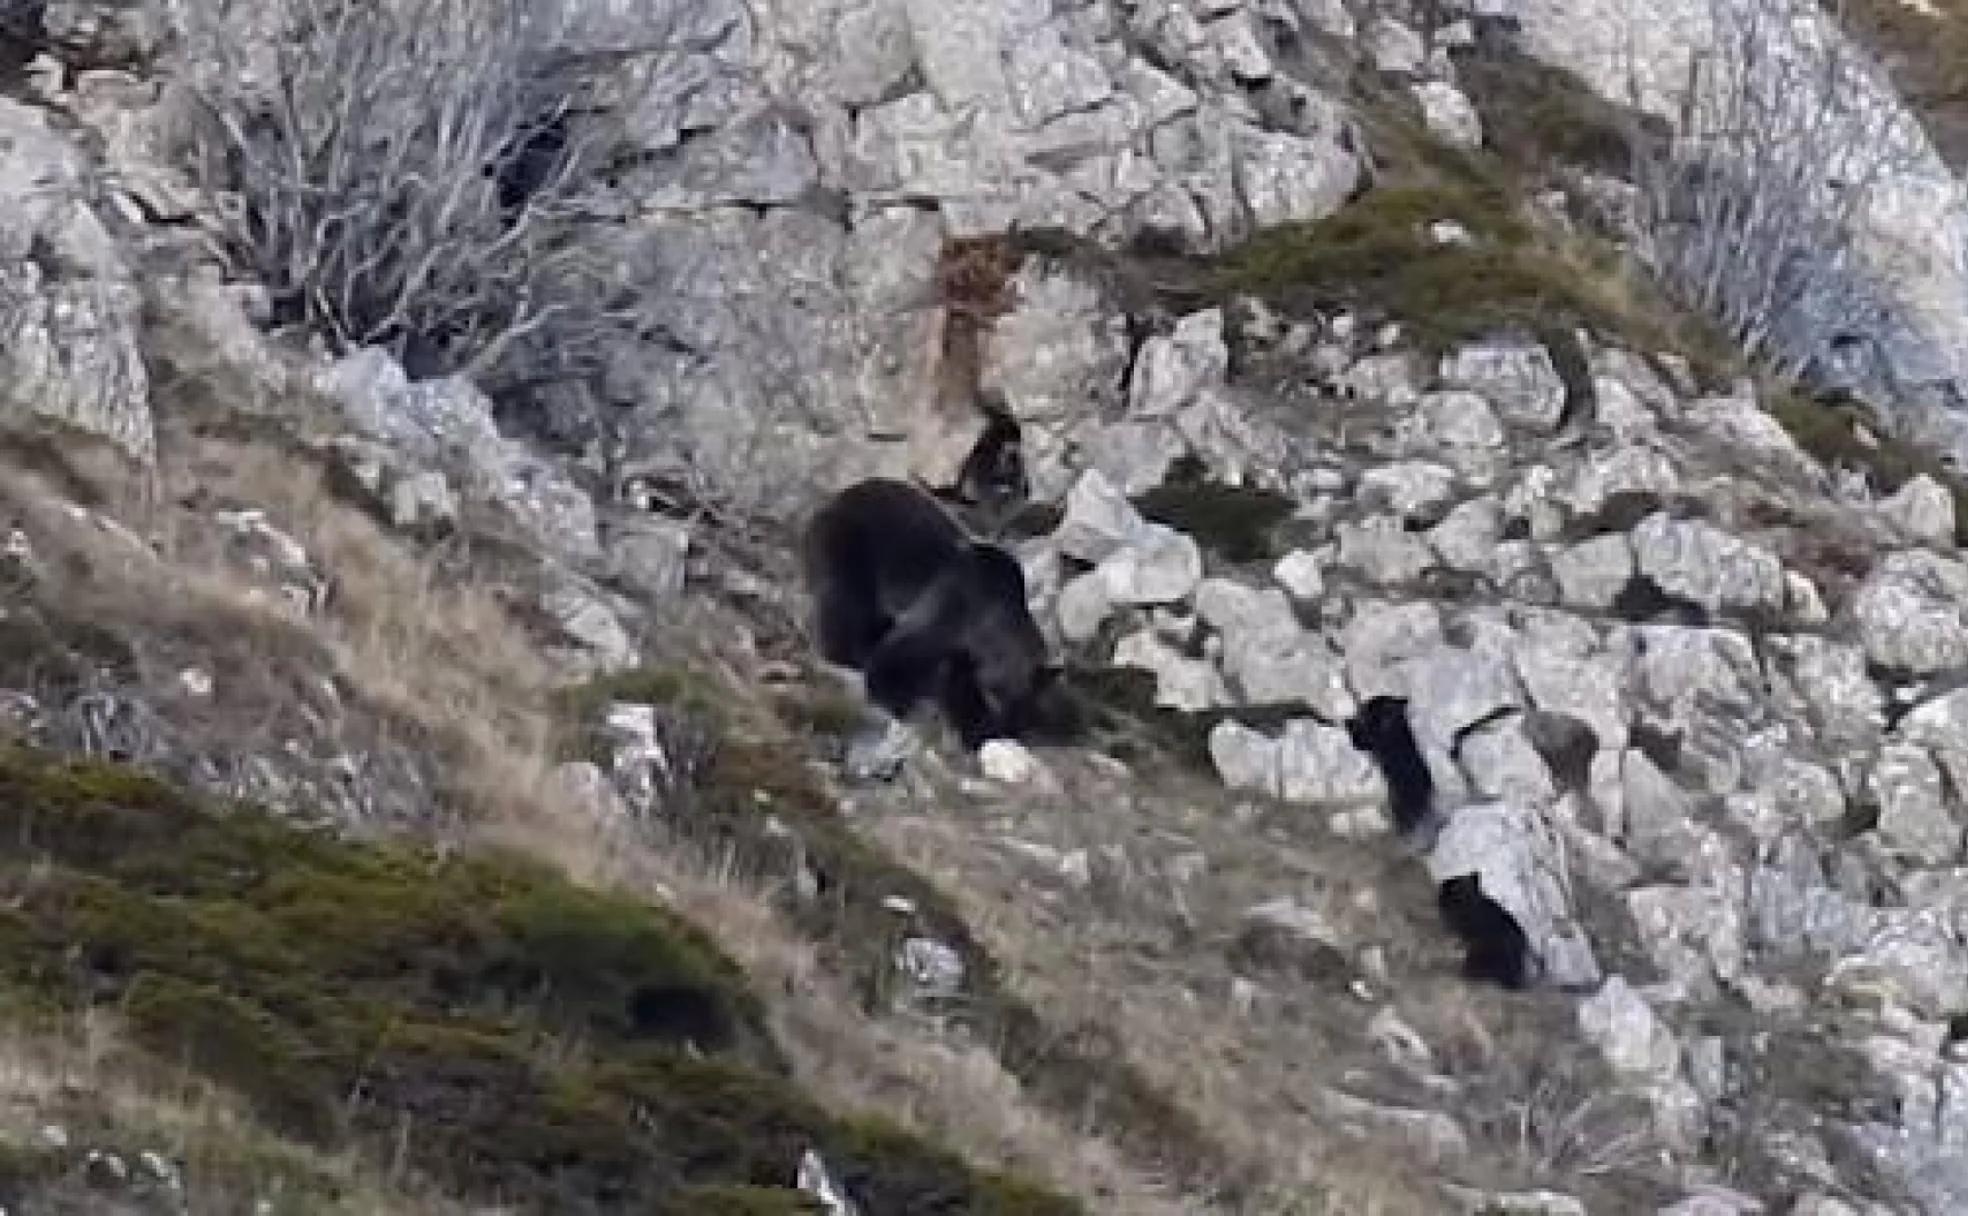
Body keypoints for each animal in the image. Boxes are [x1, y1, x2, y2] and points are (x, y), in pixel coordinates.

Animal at [795, 476, 1054, 751]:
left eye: (1022, 705)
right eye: (993, 695)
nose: (1003, 723)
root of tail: (833, 499)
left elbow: (957, 680)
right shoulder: (951, 610)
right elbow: (897, 653)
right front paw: (898, 701)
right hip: (842, 546)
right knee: (843, 603)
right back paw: (848, 653)